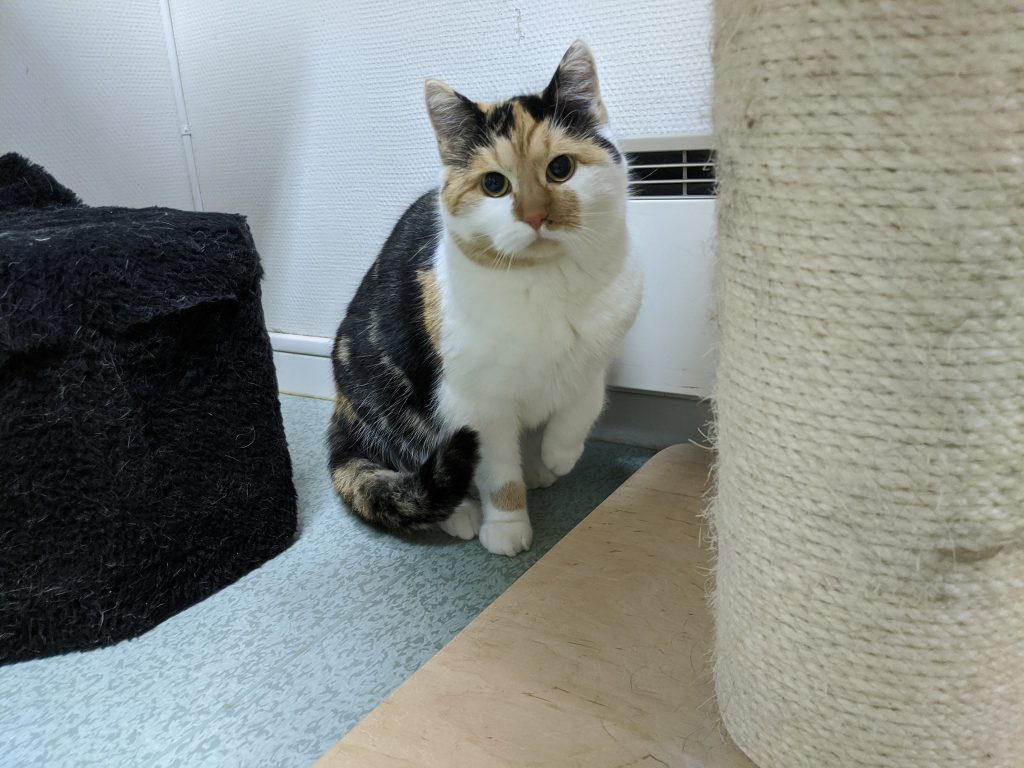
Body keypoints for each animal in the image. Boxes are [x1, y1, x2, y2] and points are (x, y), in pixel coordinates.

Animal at [328, 40, 641, 556]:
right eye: (495, 184)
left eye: (561, 168)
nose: (535, 215)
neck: (548, 283)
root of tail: (342, 414)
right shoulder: (477, 403)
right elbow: (497, 474)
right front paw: (507, 528)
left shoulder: (596, 355)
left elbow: (584, 404)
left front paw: (559, 454)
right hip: (392, 396)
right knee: (421, 471)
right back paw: (463, 513)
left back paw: (537, 467)